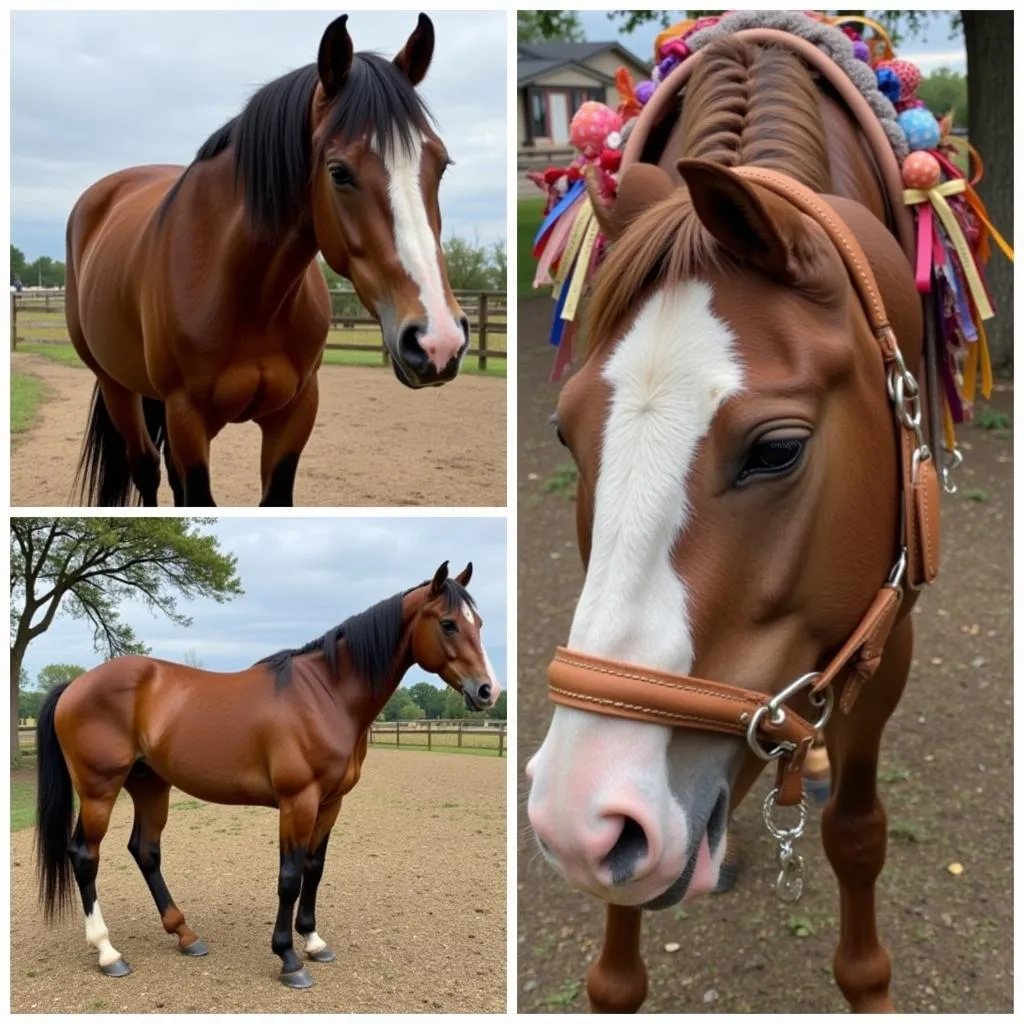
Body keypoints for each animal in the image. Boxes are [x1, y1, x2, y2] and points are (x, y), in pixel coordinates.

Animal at [37, 565, 501, 987]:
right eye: (448, 623)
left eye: (479, 622)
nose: (487, 691)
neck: (326, 695)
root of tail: (75, 684)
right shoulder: (299, 801)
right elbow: (289, 876)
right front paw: (288, 958)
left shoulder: (330, 802)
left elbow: (314, 867)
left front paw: (313, 941)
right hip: (100, 790)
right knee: (85, 855)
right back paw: (108, 952)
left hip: (149, 784)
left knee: (145, 850)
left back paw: (185, 934)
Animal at [64, 14, 464, 509]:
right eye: (338, 172)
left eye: (441, 165)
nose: (438, 342)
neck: (246, 292)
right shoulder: (187, 418)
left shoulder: (296, 412)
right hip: (117, 386)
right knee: (147, 467)